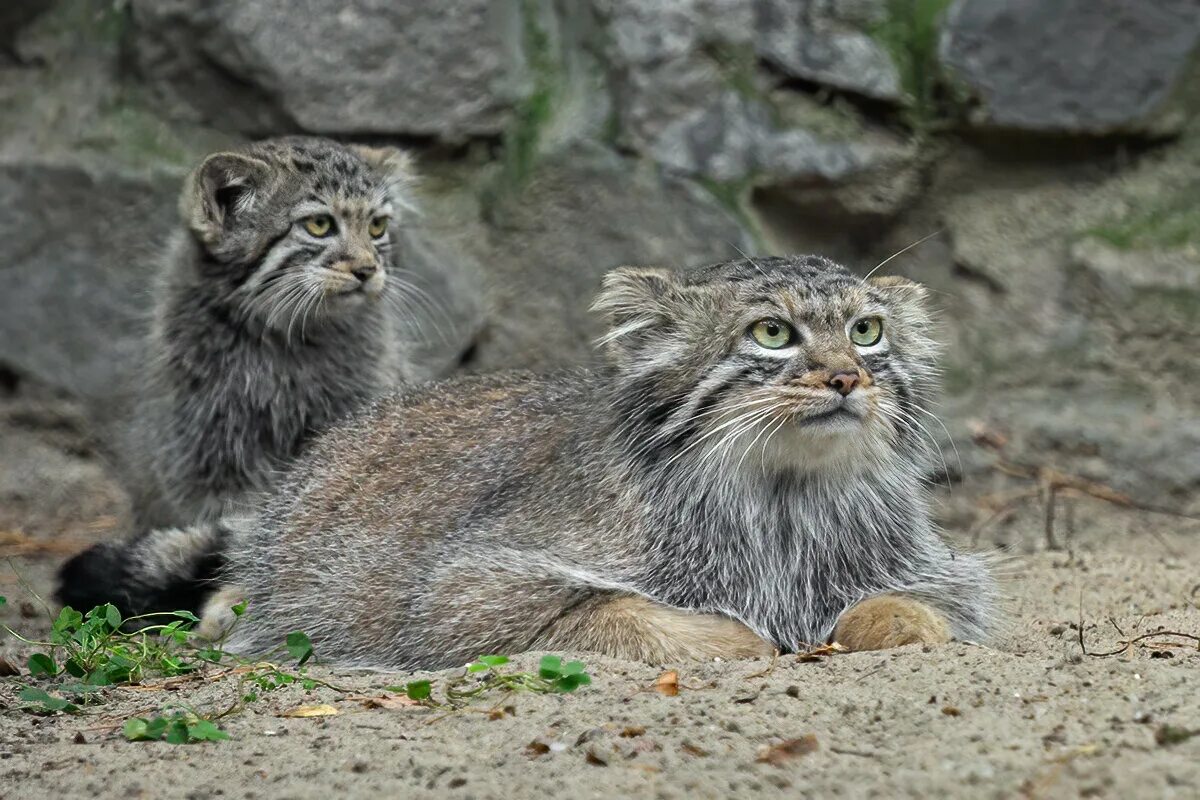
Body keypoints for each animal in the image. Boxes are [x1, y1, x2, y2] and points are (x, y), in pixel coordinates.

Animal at [75, 256, 998, 662]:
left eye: (867, 330)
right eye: (772, 333)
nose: (847, 375)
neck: (779, 497)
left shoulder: (937, 569)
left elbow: (924, 606)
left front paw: (892, 622)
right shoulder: (461, 588)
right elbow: (611, 607)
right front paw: (731, 635)